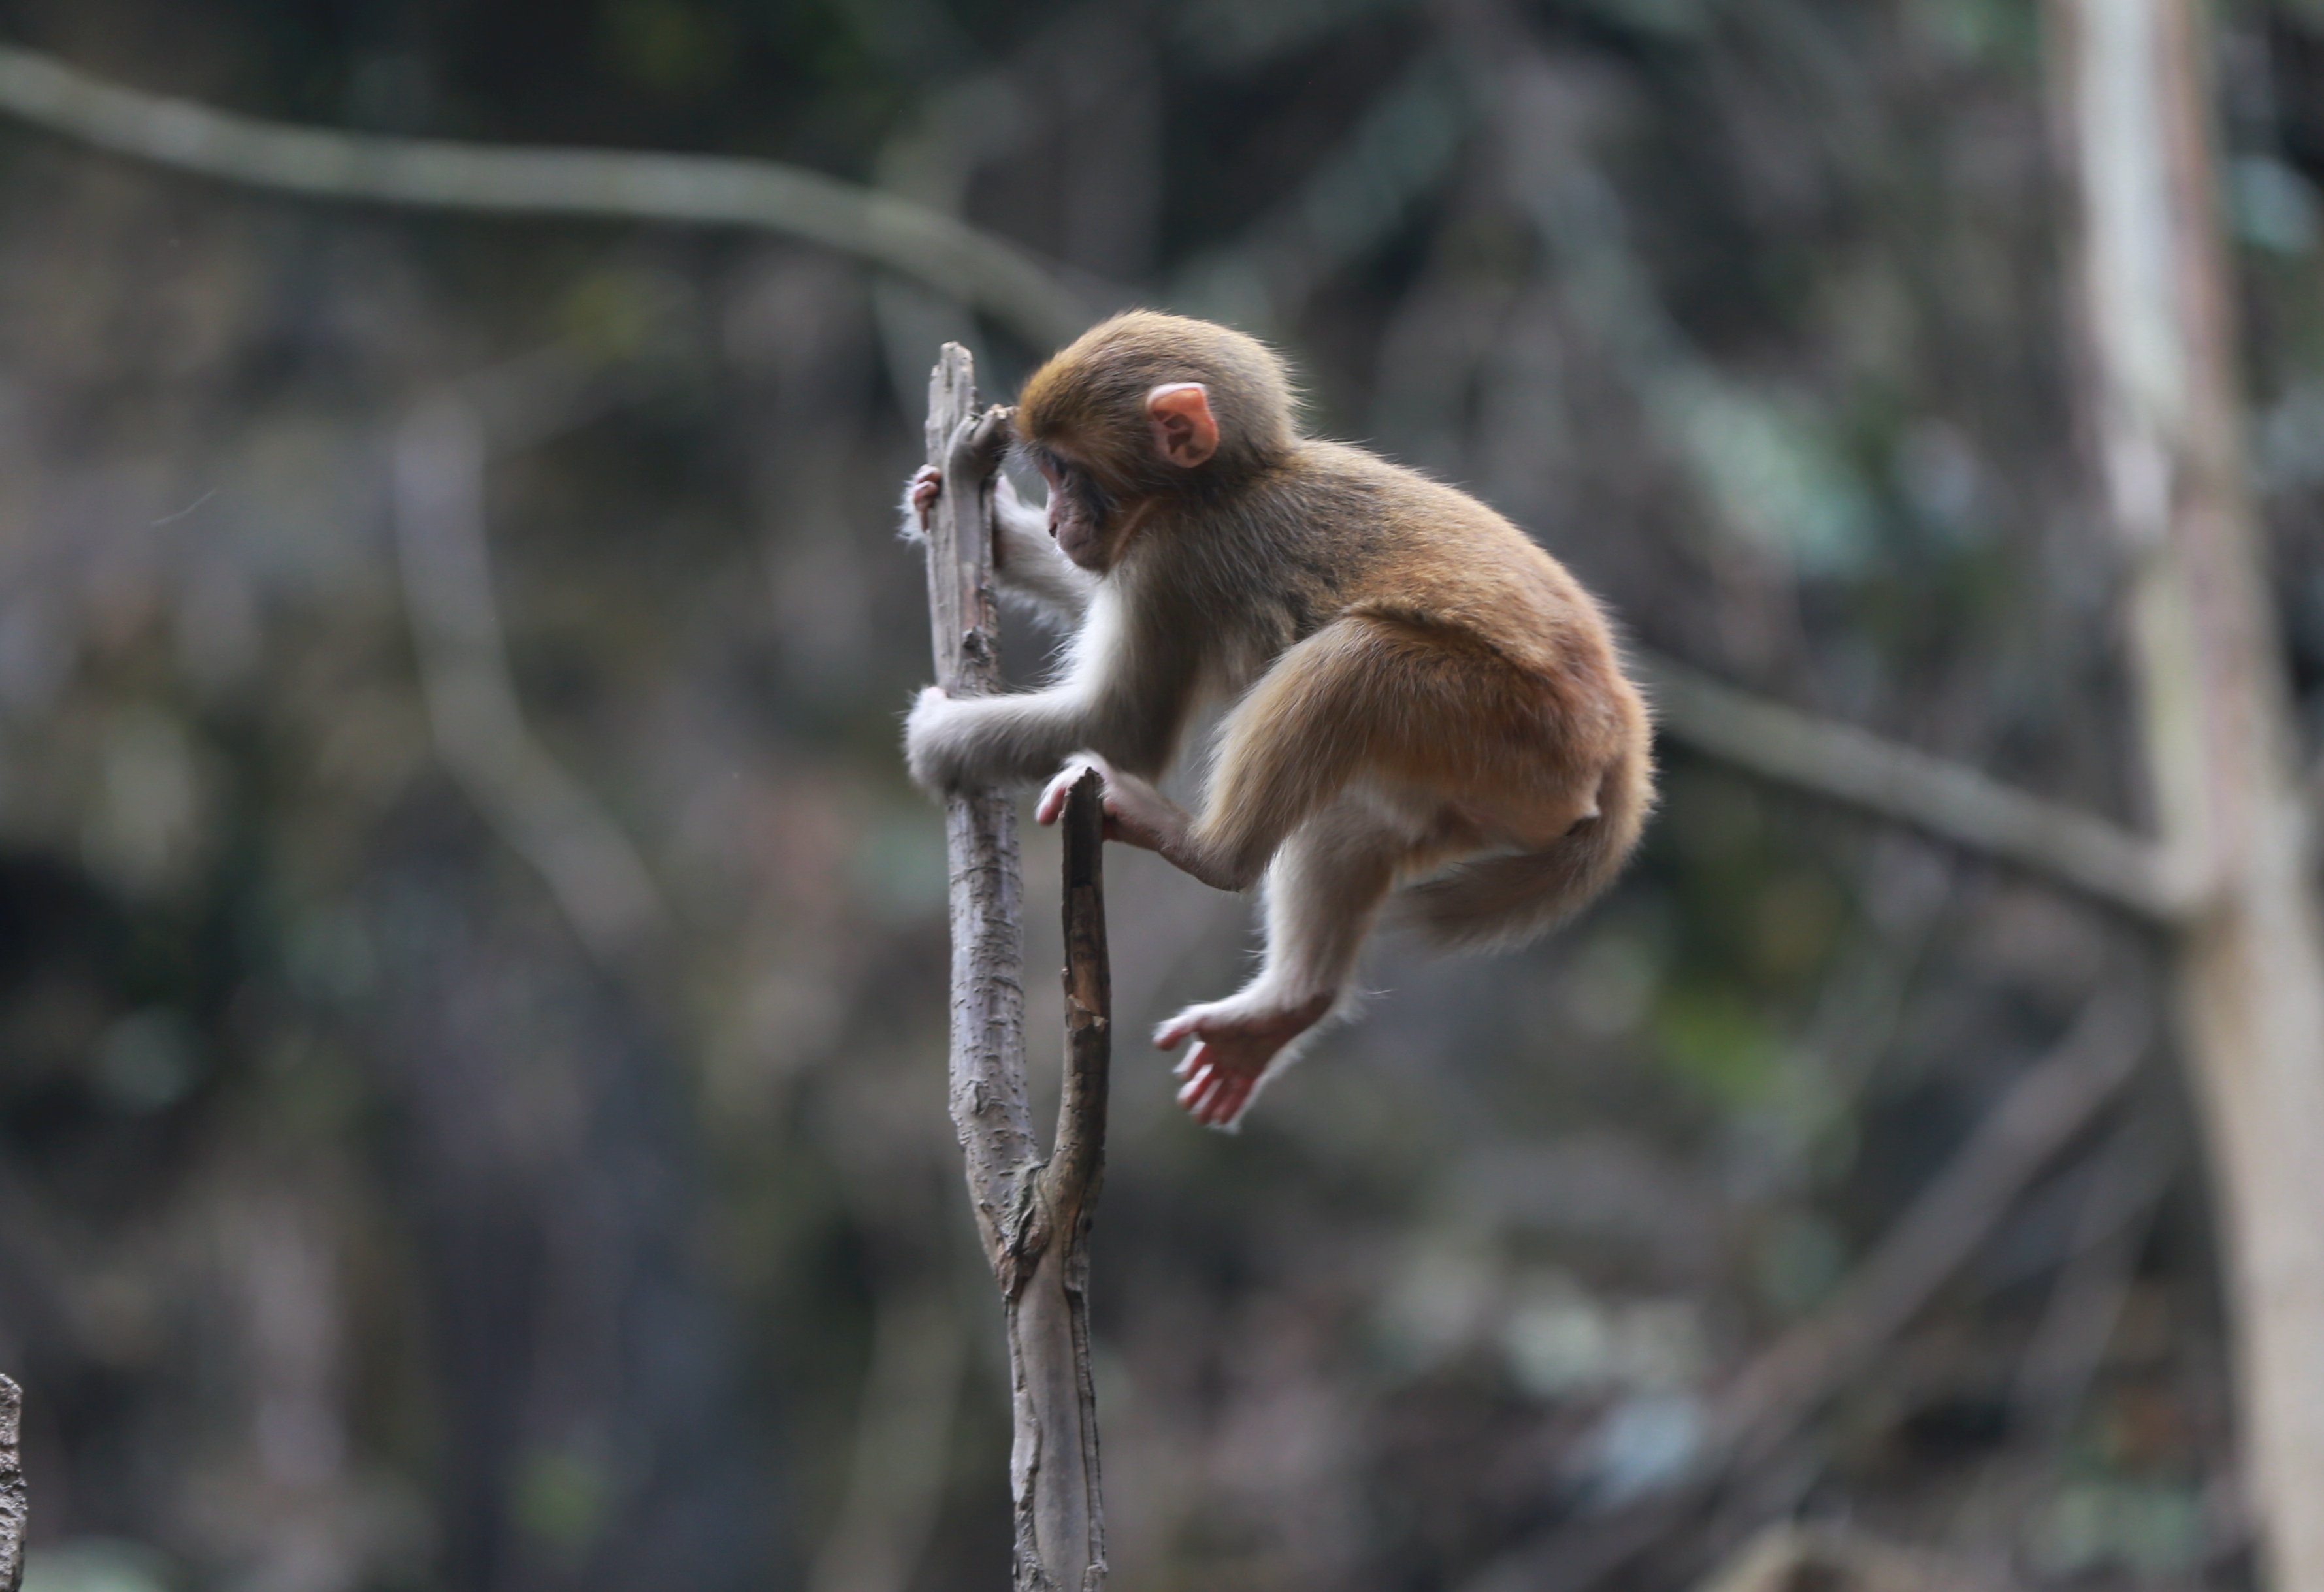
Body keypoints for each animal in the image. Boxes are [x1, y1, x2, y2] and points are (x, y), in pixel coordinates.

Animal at [906, 314, 1654, 1129]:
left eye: (1069, 472)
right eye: (1047, 476)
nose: (1052, 518)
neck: (1223, 483)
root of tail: (1621, 724)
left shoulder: (1170, 560)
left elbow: (1122, 725)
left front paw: (935, 741)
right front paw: (990, 530)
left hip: (1513, 729)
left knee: (1355, 662)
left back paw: (1207, 851)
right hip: (1492, 788)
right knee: (1360, 821)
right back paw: (1286, 1008)